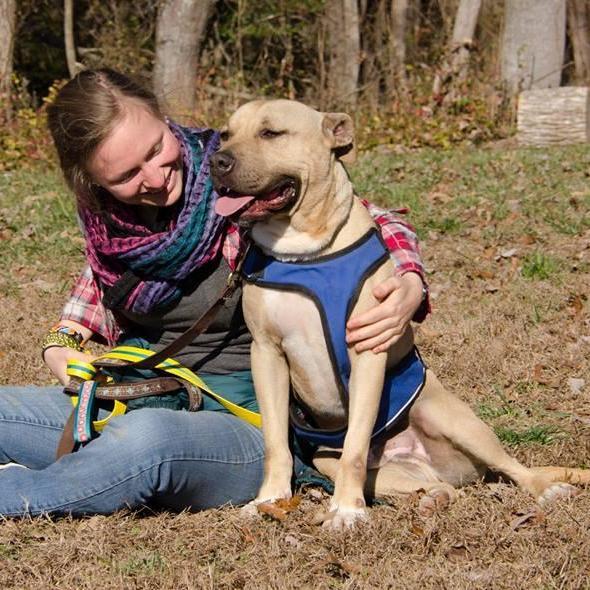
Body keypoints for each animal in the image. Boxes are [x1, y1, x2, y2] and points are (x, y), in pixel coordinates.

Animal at [210, 100, 588, 532]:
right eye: (225, 134)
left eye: (271, 133)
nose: (216, 161)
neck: (304, 252)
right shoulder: (267, 354)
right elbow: (276, 442)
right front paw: (269, 499)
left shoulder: (366, 351)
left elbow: (356, 446)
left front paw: (346, 510)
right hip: (335, 460)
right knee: (442, 487)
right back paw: (433, 498)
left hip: (455, 420)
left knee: (515, 467)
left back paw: (546, 489)